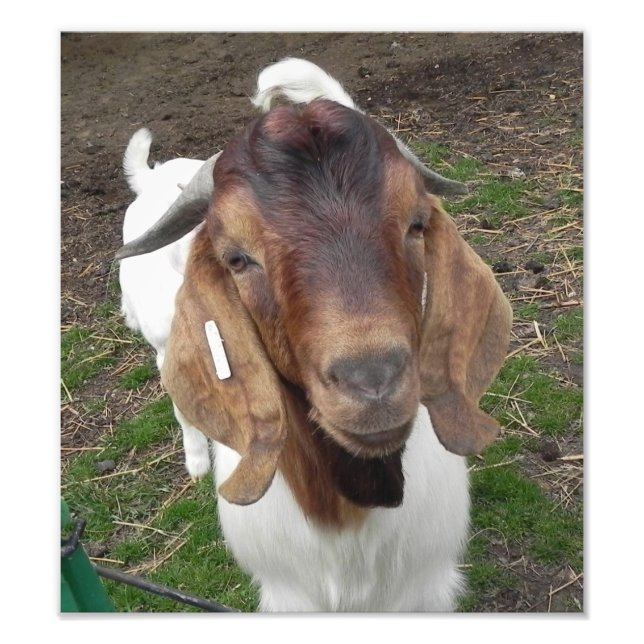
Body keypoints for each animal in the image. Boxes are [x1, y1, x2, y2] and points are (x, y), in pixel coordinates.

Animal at [116, 59, 512, 612]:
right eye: (236, 257)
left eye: (416, 224)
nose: (372, 380)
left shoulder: (425, 588)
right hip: (159, 340)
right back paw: (195, 462)